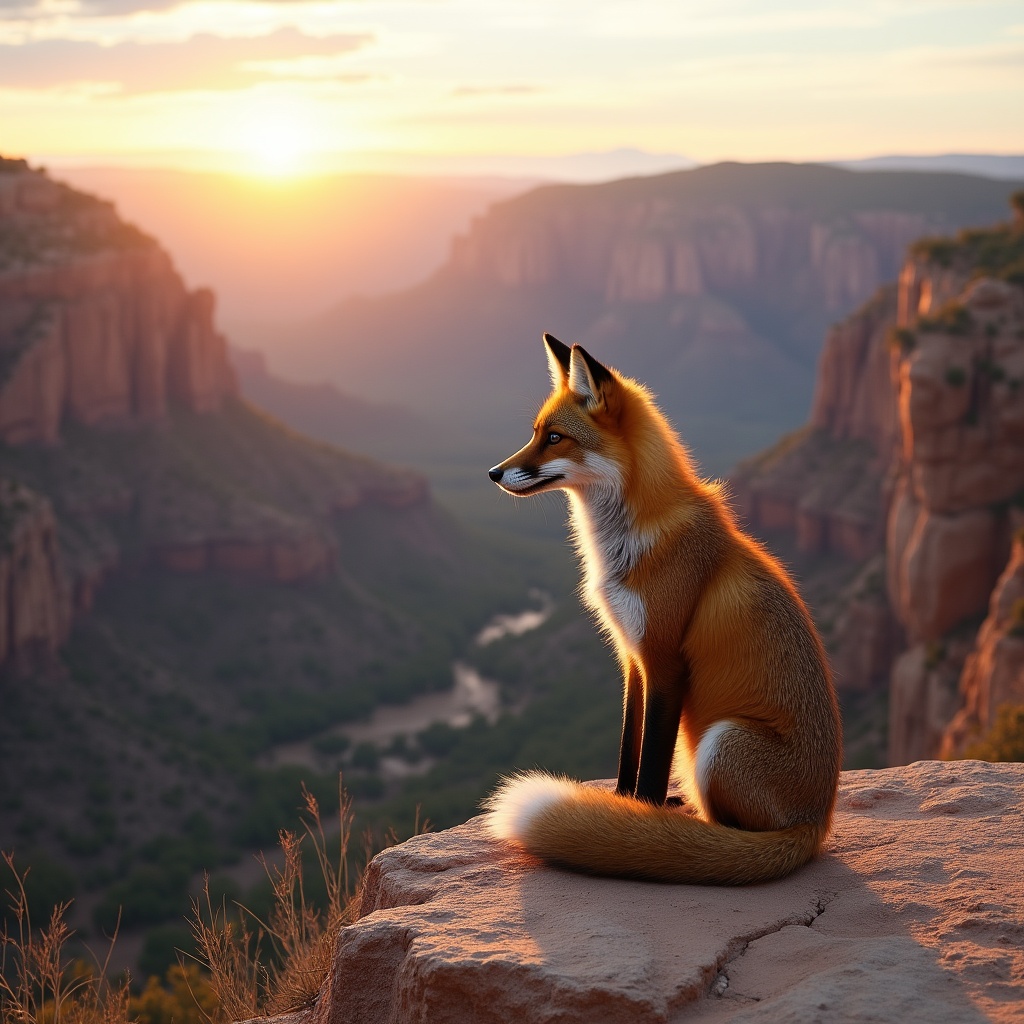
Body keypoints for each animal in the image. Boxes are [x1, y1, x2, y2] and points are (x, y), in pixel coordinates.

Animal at [483, 334, 842, 885]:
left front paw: (639, 824)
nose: (494, 473)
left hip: (722, 742)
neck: (622, 548)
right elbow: (629, 748)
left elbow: (651, 759)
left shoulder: (665, 659)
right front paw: (620, 806)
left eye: (555, 438)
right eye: (535, 433)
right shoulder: (632, 655)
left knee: (730, 832)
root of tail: (816, 824)